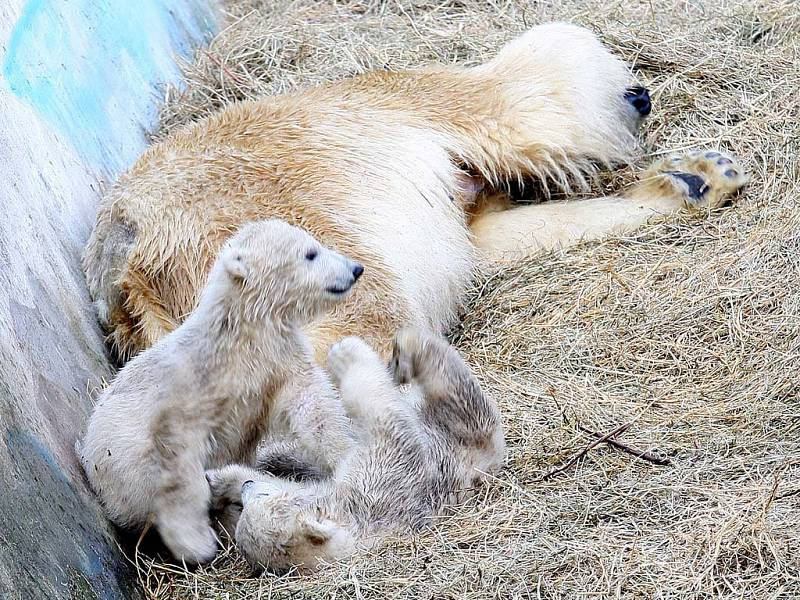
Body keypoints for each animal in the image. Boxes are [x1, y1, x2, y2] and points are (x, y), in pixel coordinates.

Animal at [75, 219, 362, 564]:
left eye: (315, 245)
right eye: (310, 253)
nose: (356, 268)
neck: (237, 334)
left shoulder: (277, 360)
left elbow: (312, 406)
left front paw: (346, 453)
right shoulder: (189, 387)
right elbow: (176, 461)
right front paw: (196, 542)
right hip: (114, 467)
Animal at [84, 23, 748, 360]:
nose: (643, 94)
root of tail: (125, 262)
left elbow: (492, 239)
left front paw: (701, 176)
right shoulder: (419, 103)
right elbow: (526, 95)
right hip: (259, 235)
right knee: (363, 323)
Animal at [206, 330, 506, 576]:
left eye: (260, 499)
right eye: (251, 504)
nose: (246, 487)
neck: (350, 517)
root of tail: (491, 462)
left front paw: (220, 479)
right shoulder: (380, 488)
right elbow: (390, 425)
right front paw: (347, 354)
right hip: (466, 431)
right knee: (454, 387)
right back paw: (404, 354)